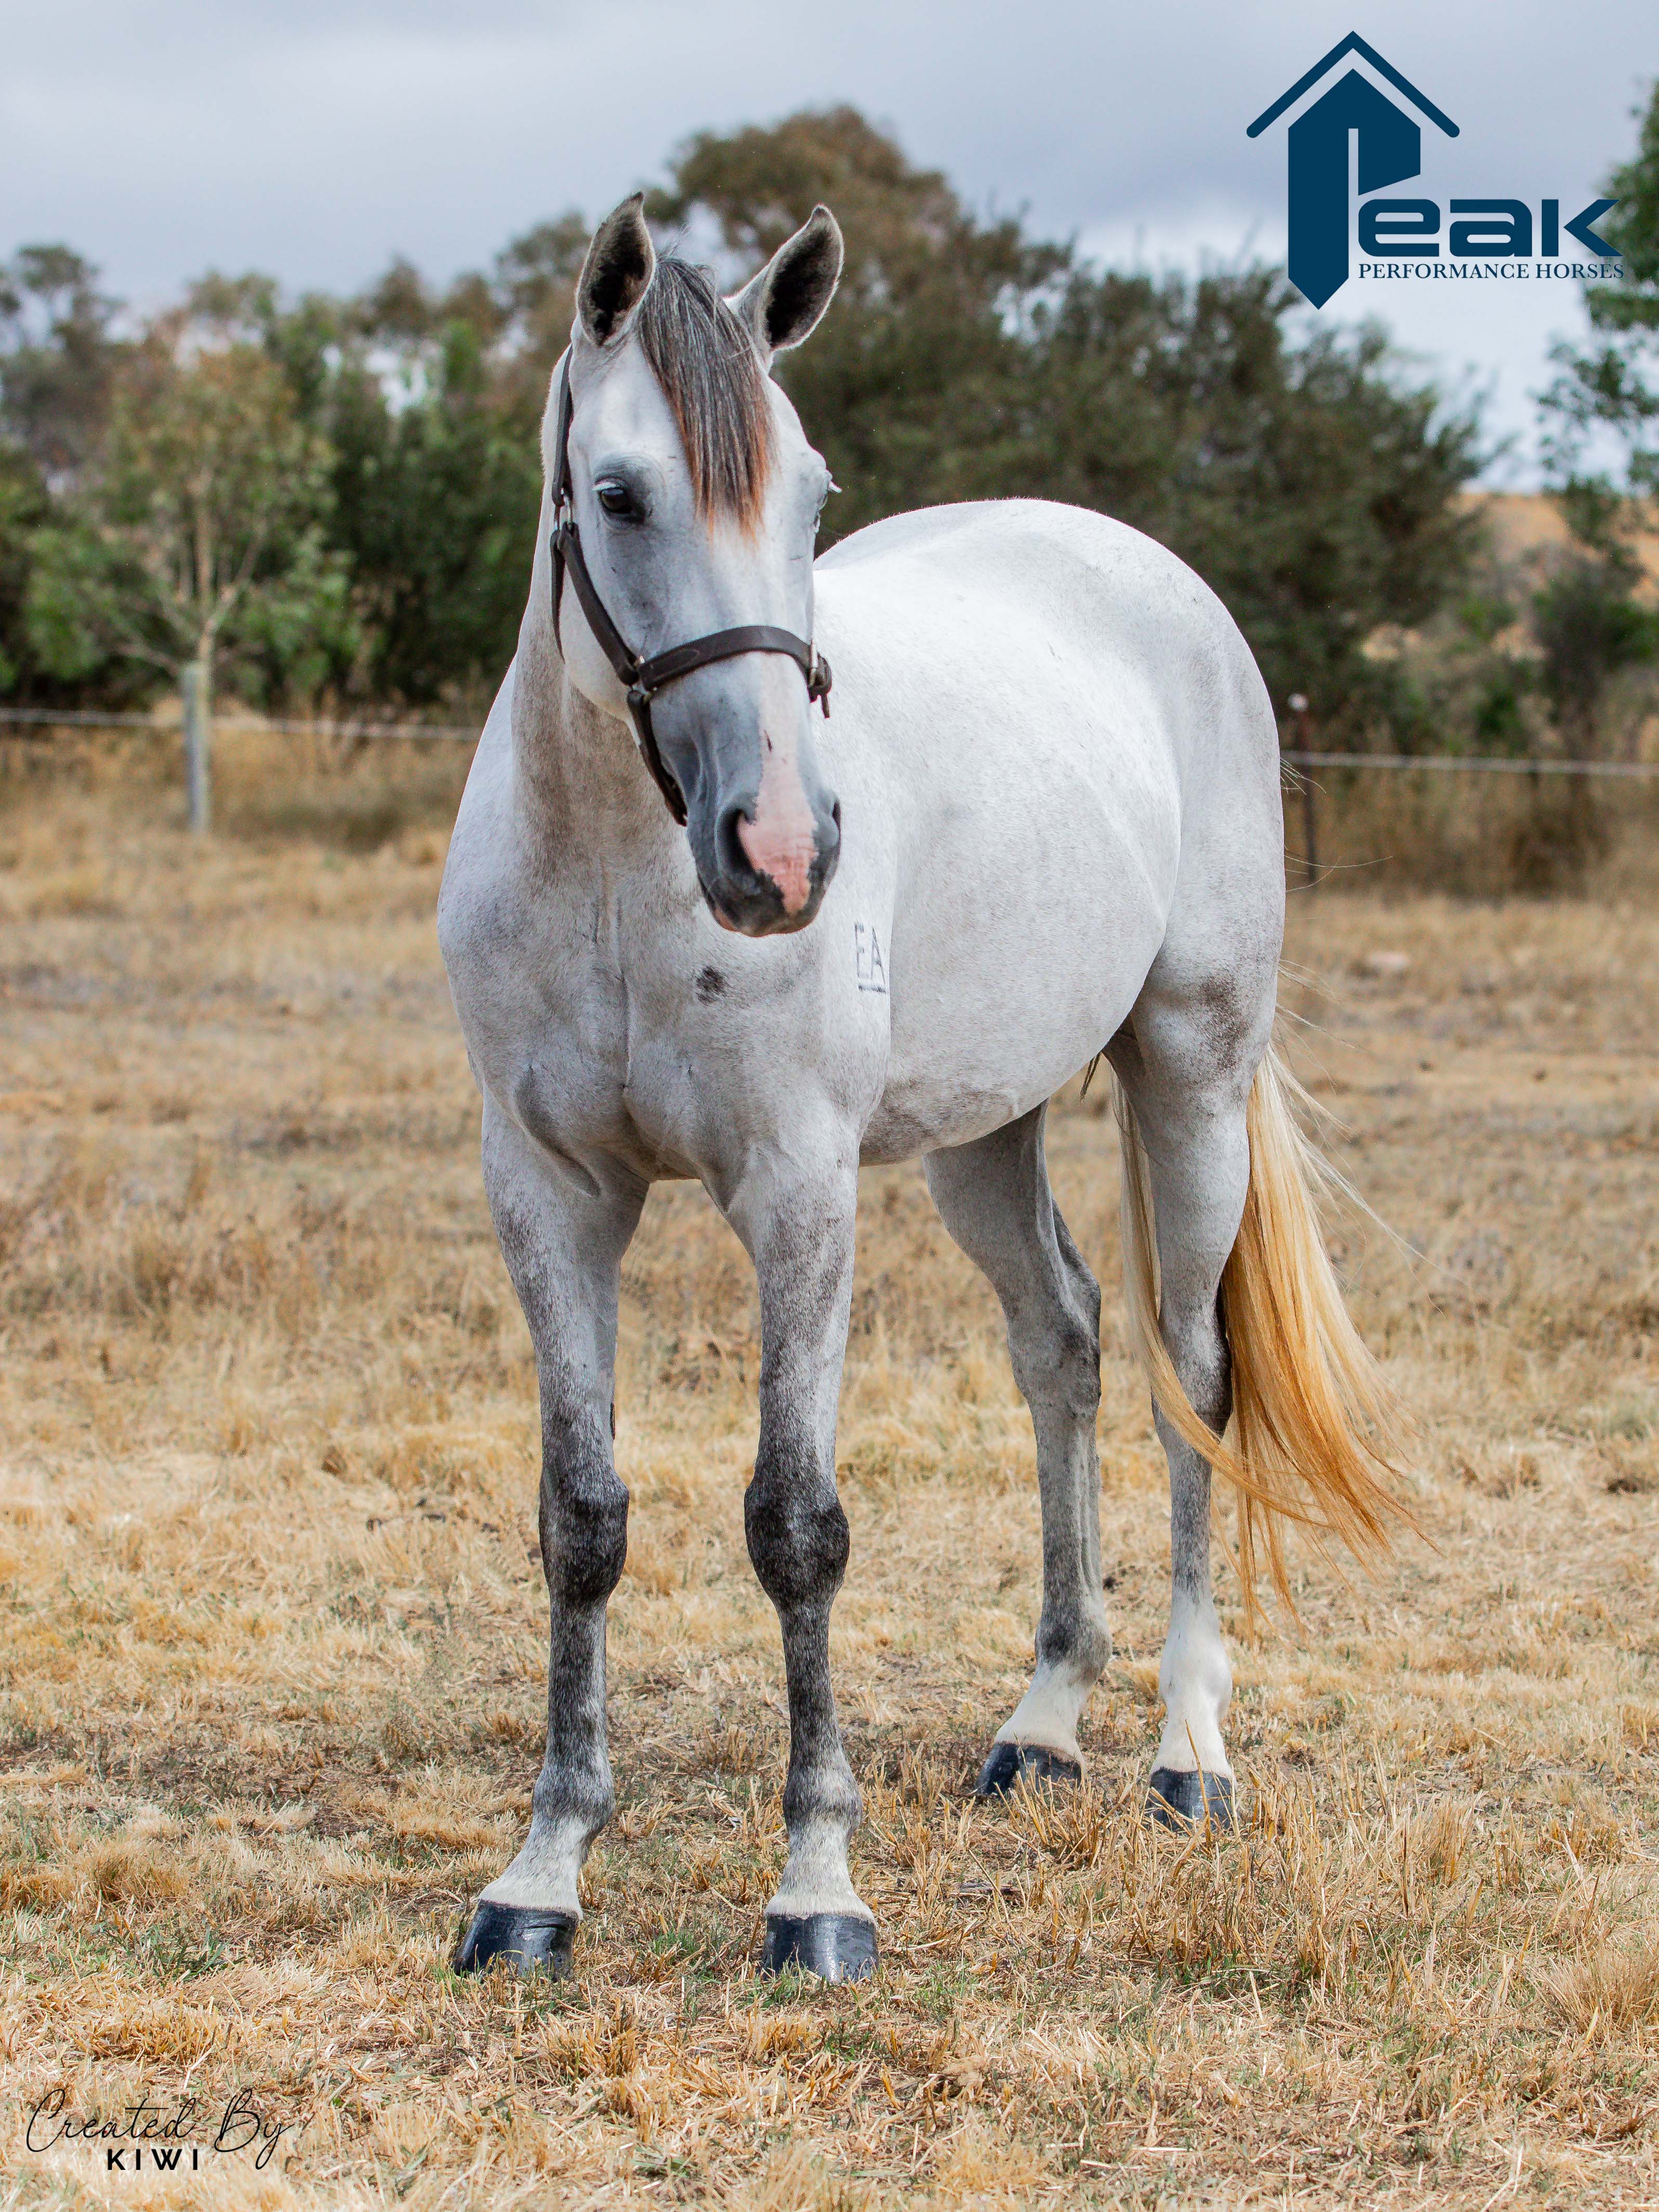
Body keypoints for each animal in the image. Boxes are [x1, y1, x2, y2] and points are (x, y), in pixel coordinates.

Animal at [437, 193, 1406, 1984]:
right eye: (620, 493)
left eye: (811, 495)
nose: (779, 850)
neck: (614, 869)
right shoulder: (545, 1189)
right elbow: (583, 1517)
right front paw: (541, 1872)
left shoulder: (797, 1192)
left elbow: (794, 1523)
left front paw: (814, 1887)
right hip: (983, 1133)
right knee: (1064, 1343)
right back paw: (1042, 1723)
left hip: (1189, 1075)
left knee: (1185, 1379)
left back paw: (1186, 1750)